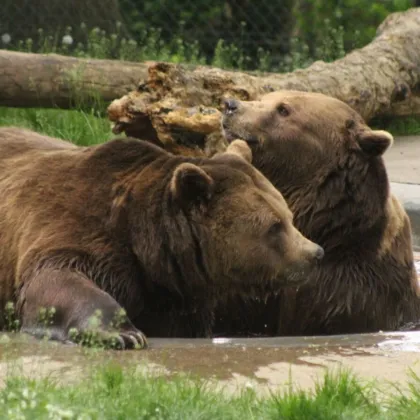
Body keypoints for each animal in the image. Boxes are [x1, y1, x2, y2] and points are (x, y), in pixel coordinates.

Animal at [0, 126, 324, 350]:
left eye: (289, 216)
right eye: (274, 226)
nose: (315, 253)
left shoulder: (171, 296)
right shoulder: (72, 228)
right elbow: (56, 281)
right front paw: (125, 334)